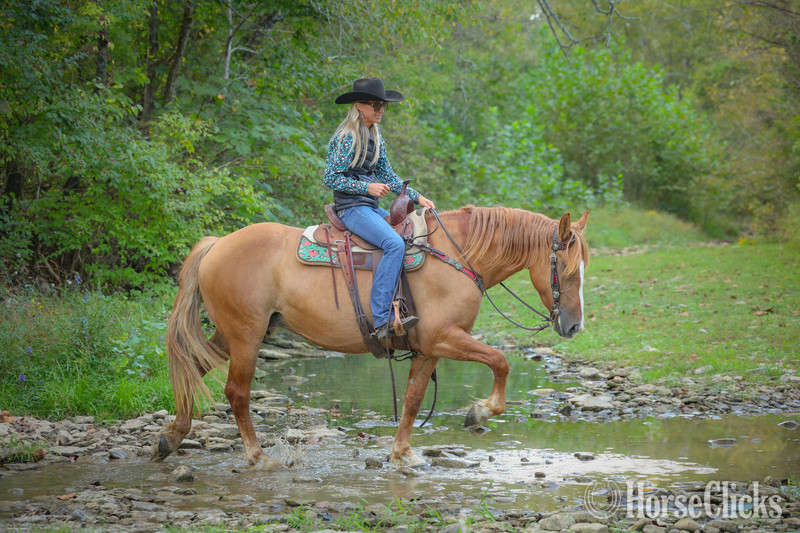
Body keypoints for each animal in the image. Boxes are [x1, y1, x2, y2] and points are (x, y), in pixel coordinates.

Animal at [153, 205, 590, 468]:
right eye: (566, 270)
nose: (574, 326)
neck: (458, 257)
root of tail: (216, 245)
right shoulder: (444, 338)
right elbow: (500, 361)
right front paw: (479, 412)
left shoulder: (427, 349)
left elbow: (413, 400)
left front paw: (403, 454)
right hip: (247, 335)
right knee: (237, 392)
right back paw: (257, 456)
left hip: (235, 333)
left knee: (193, 368)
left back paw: (171, 438)